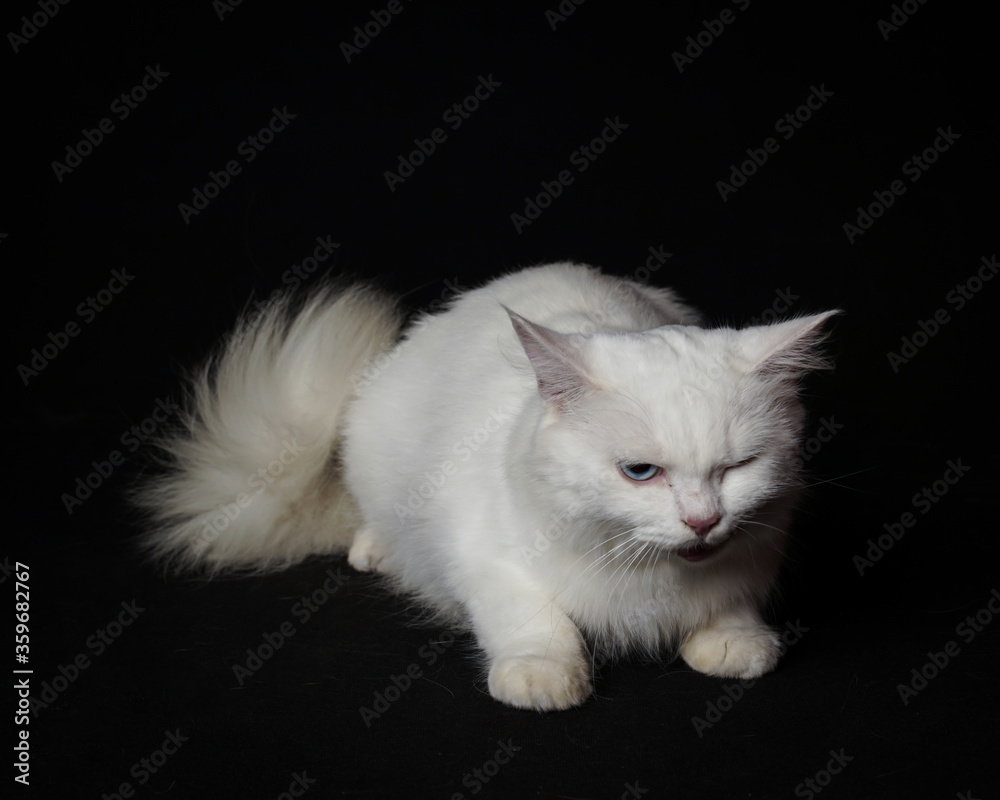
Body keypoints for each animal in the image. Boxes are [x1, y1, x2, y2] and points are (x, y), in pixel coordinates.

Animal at [141, 264, 840, 712]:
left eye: (736, 468)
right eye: (640, 472)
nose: (701, 521)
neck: (651, 578)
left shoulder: (758, 546)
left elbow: (733, 600)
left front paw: (734, 642)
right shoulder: (486, 559)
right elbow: (536, 620)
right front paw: (542, 679)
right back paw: (375, 550)